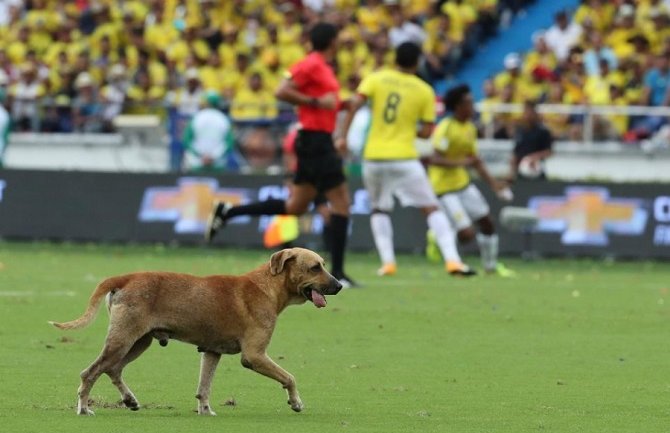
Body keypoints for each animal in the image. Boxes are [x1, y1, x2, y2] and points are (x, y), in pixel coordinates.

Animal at [48, 248, 342, 414]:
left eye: (323, 264)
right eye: (315, 267)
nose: (339, 285)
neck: (266, 287)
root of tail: (126, 277)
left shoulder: (211, 351)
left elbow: (204, 387)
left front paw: (205, 410)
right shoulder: (254, 356)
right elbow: (289, 377)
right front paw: (296, 402)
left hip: (138, 342)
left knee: (113, 369)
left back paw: (130, 400)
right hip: (123, 340)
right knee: (91, 372)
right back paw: (84, 409)